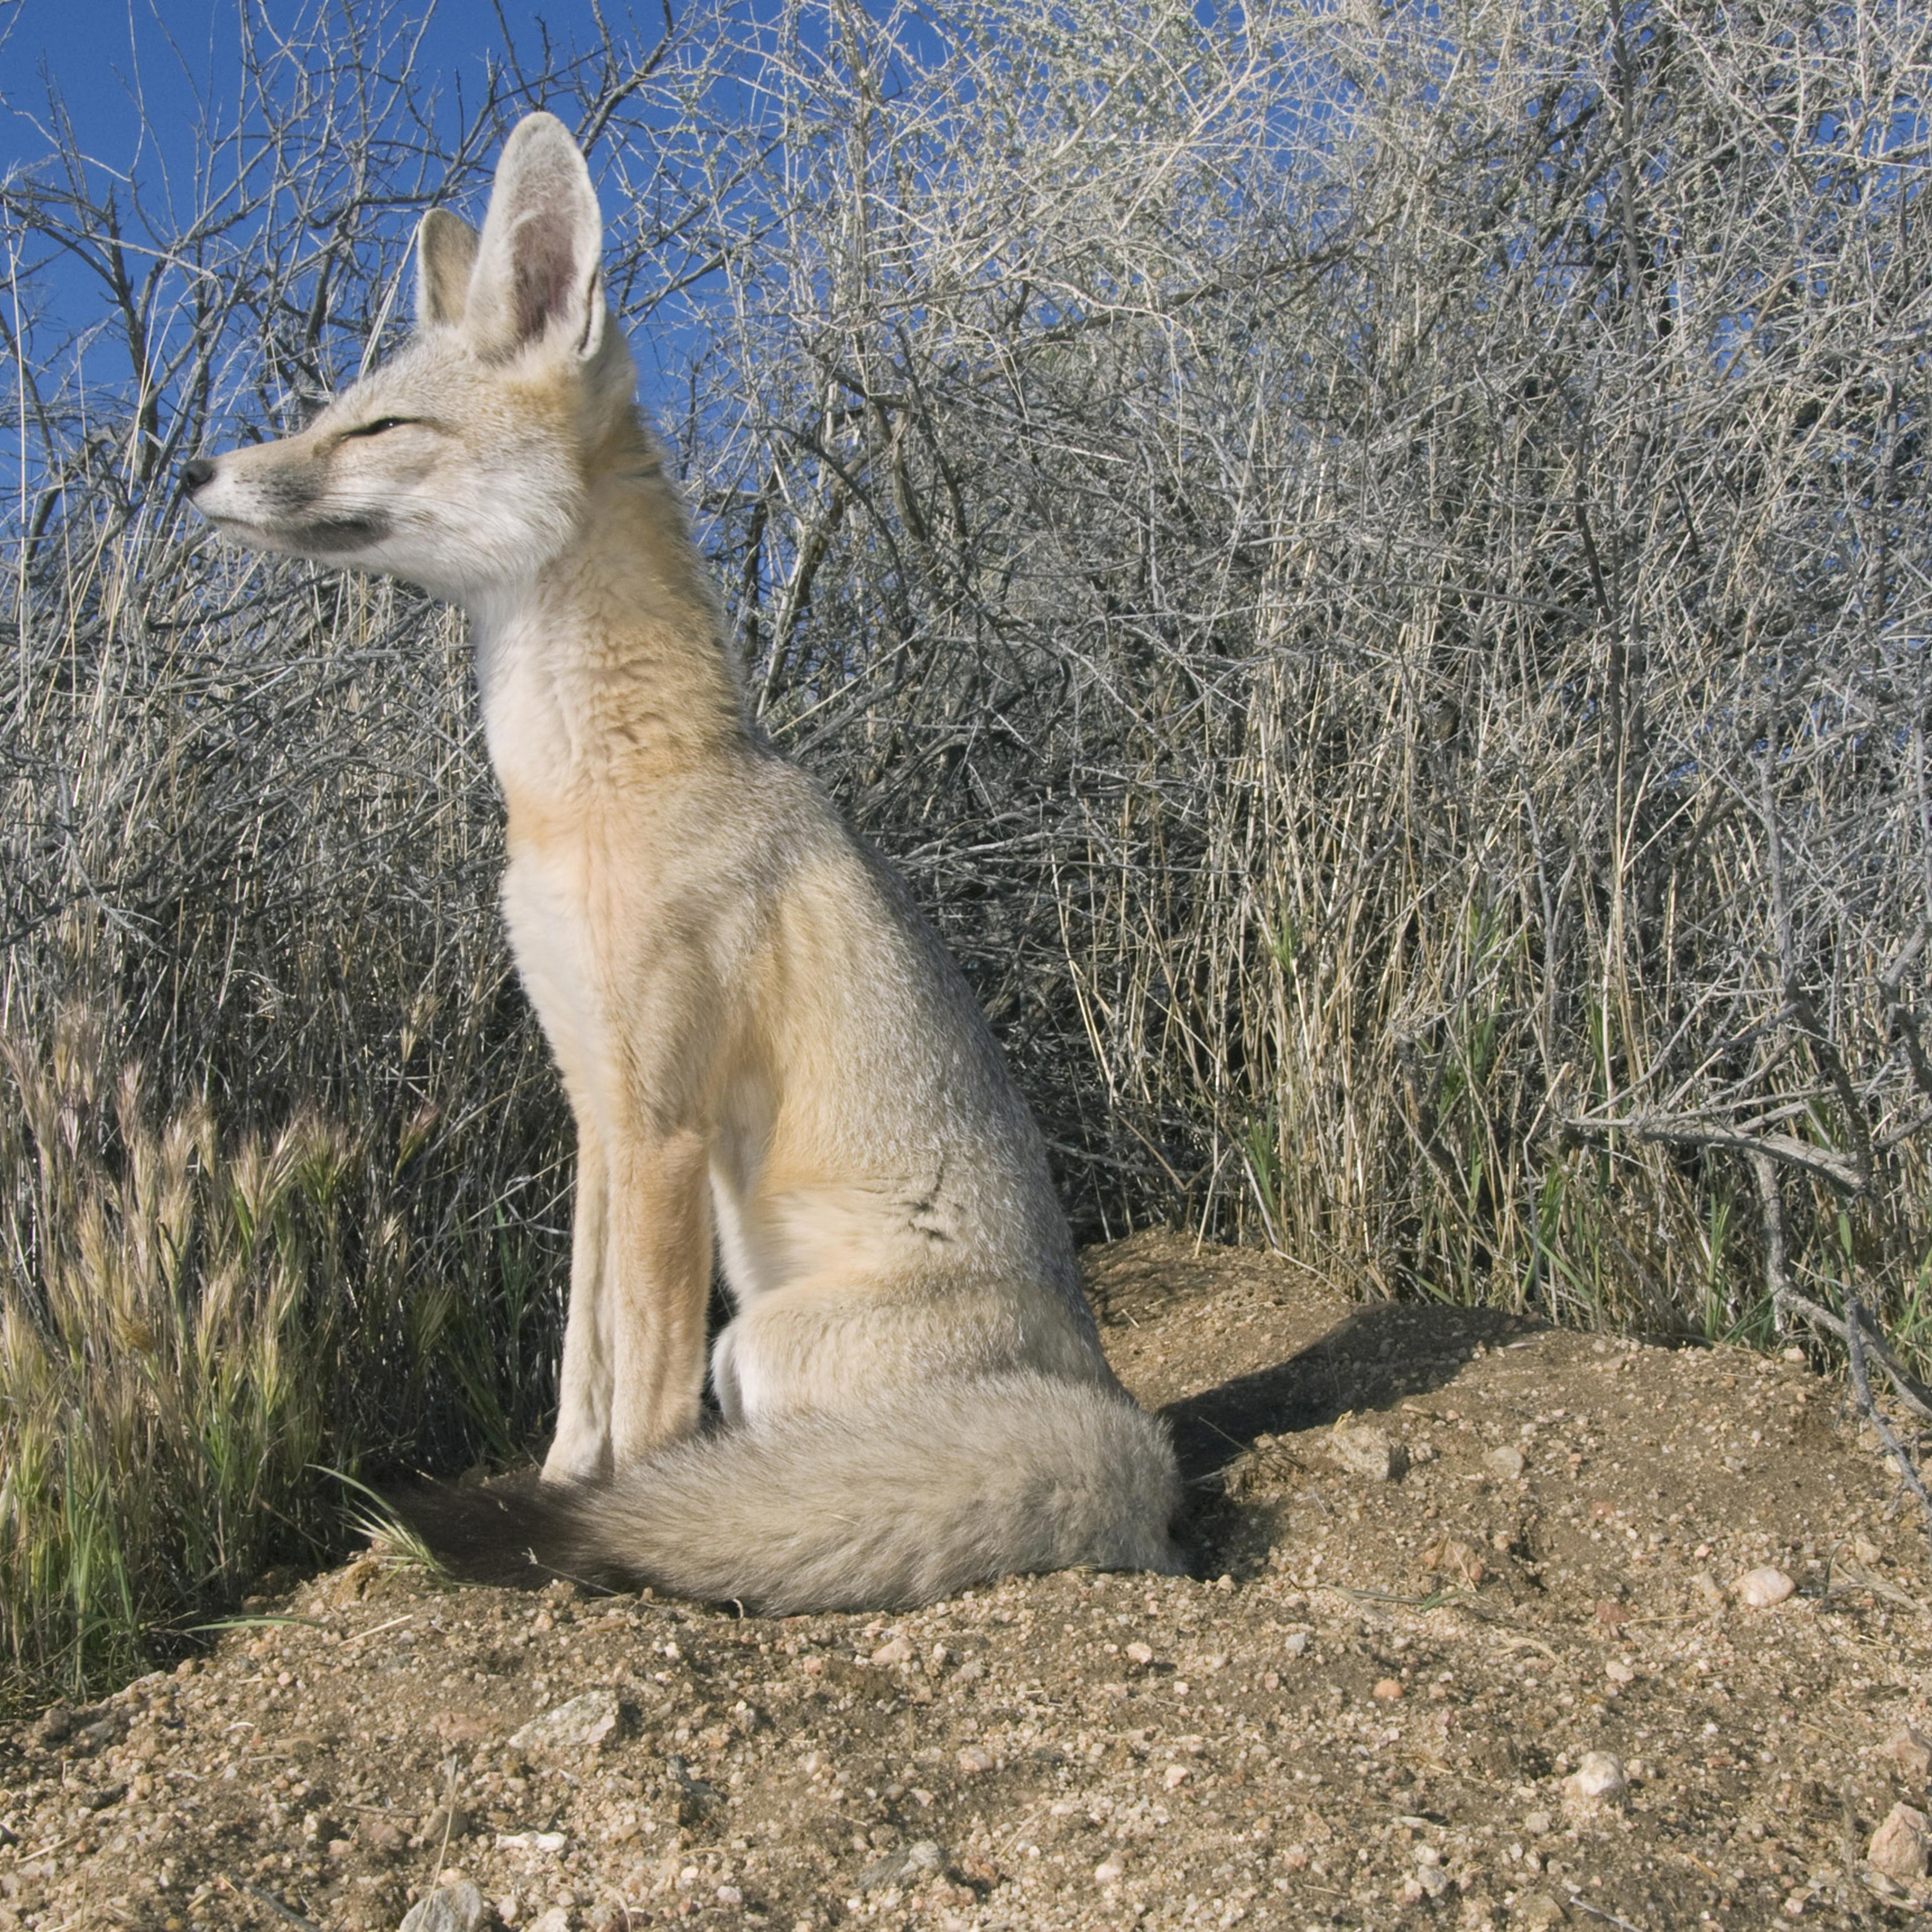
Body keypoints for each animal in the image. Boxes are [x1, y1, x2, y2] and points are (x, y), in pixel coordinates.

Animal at [181, 111, 1183, 1613]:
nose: (195, 473)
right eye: (332, 412)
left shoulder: (659, 1120)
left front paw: (622, 1520)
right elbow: (578, 1369)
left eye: (377, 425)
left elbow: (639, 1394)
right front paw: (561, 1492)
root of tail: (1136, 1432)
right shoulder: (593, 1100)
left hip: (754, 1343)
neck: (590, 791)